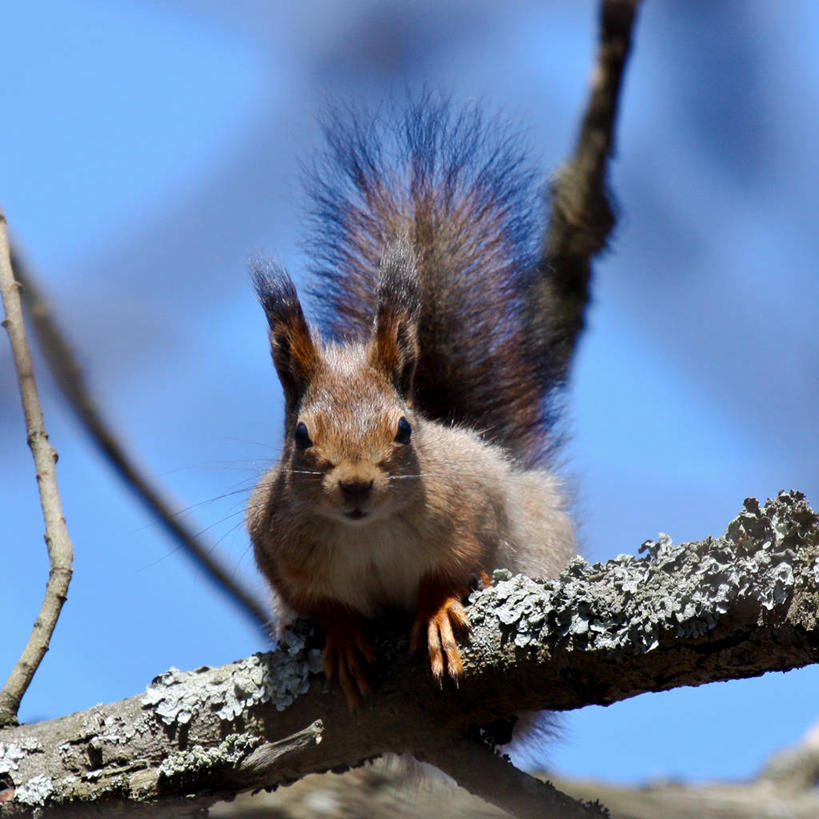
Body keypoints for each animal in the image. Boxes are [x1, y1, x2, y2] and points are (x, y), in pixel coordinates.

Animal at [250, 99, 576, 708]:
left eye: (403, 429)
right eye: (302, 435)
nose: (356, 485)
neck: (365, 531)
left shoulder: (474, 504)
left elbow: (455, 566)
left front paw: (439, 609)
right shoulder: (275, 550)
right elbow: (323, 605)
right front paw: (342, 633)